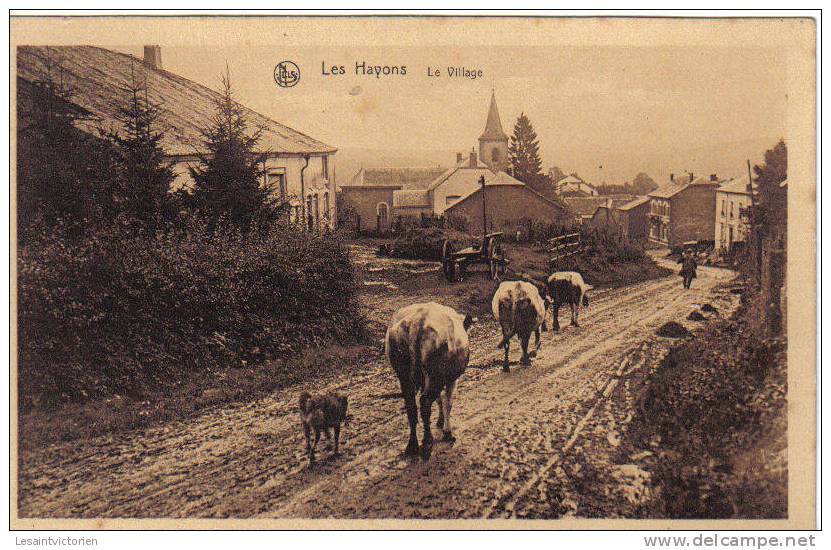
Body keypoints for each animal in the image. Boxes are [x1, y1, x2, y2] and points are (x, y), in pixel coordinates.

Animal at [386, 304, 474, 464]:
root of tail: (417, 320)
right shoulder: (451, 379)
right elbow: (447, 402)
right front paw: (447, 431)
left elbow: (439, 399)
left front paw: (440, 421)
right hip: (435, 376)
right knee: (425, 402)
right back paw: (427, 442)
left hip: (404, 376)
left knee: (411, 407)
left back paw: (412, 446)